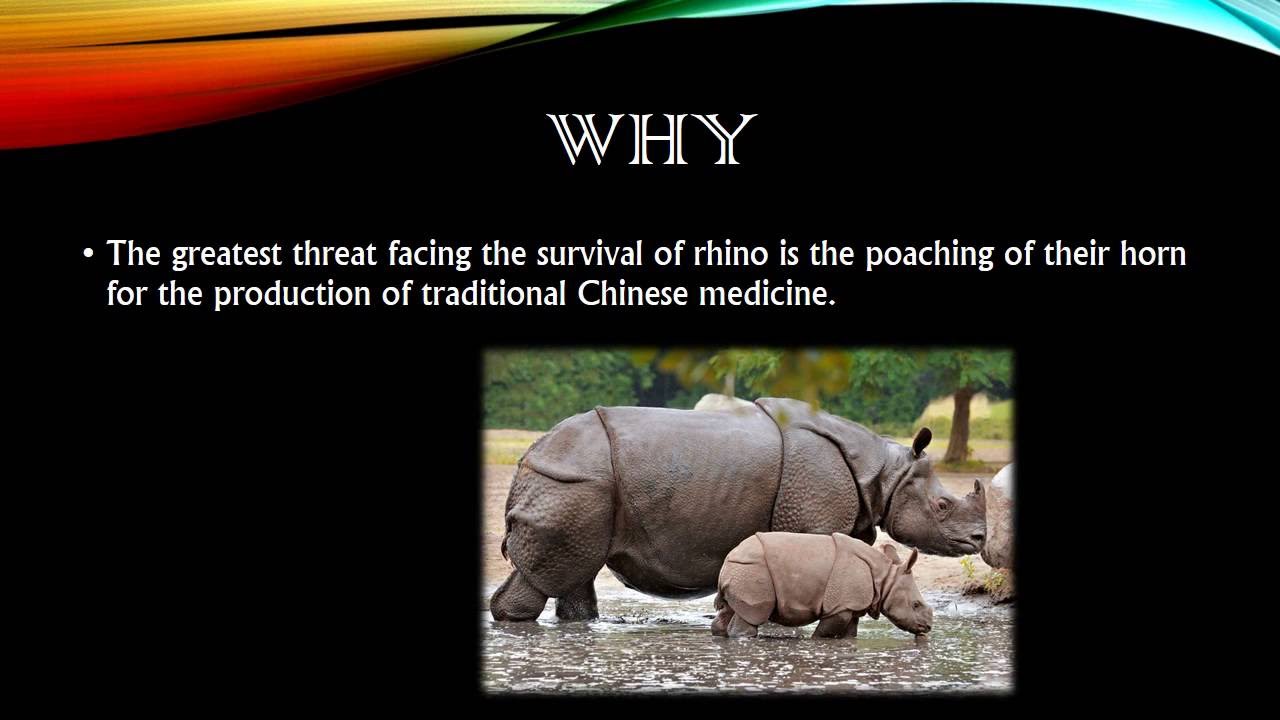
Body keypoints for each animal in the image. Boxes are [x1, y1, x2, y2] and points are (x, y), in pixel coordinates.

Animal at [490, 397, 986, 621]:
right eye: (942, 505)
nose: (980, 539)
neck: (883, 471)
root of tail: (528, 458)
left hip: (576, 487)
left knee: (576, 573)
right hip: (573, 484)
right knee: (550, 577)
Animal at [713, 532, 931, 638]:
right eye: (916, 605)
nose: (928, 627)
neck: (884, 578)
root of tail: (727, 561)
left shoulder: (851, 604)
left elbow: (849, 634)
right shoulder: (840, 606)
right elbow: (825, 632)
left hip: (744, 569)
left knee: (730, 611)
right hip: (752, 570)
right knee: (752, 615)